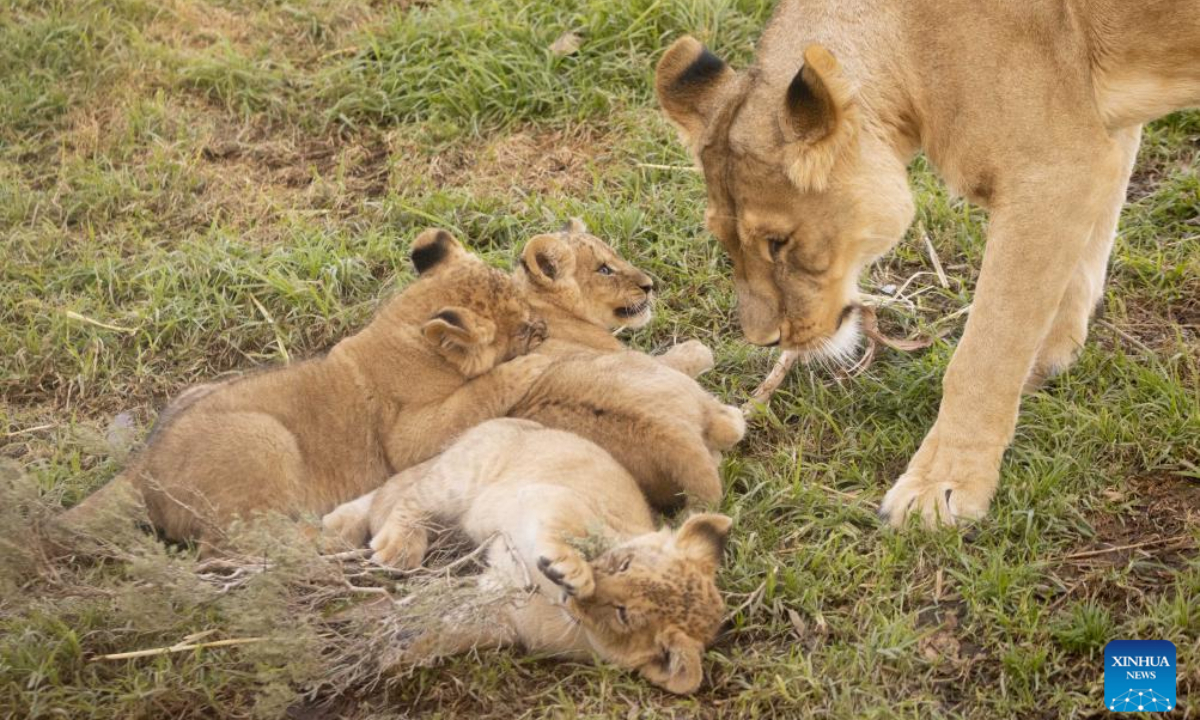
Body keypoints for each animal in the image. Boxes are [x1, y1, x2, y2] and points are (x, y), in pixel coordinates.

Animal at [62, 230, 549, 551]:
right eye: (523, 328)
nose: (543, 326)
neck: (405, 332)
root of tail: (141, 467)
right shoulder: (407, 438)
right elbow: (478, 394)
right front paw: (536, 362)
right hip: (264, 441)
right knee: (237, 546)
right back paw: (328, 541)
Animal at [323, 418, 730, 695]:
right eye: (624, 564)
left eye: (623, 615)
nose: (575, 594)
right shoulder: (554, 497)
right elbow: (561, 530)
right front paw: (571, 570)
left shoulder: (504, 611)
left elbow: (453, 628)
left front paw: (392, 650)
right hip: (464, 476)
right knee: (408, 495)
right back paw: (389, 544)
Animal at [654, 1, 1200, 527]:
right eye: (723, 240)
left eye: (777, 242)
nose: (764, 341)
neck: (911, 50)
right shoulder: (1095, 142)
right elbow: (1084, 253)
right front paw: (1047, 359)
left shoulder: (1055, 168)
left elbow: (985, 352)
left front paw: (943, 486)